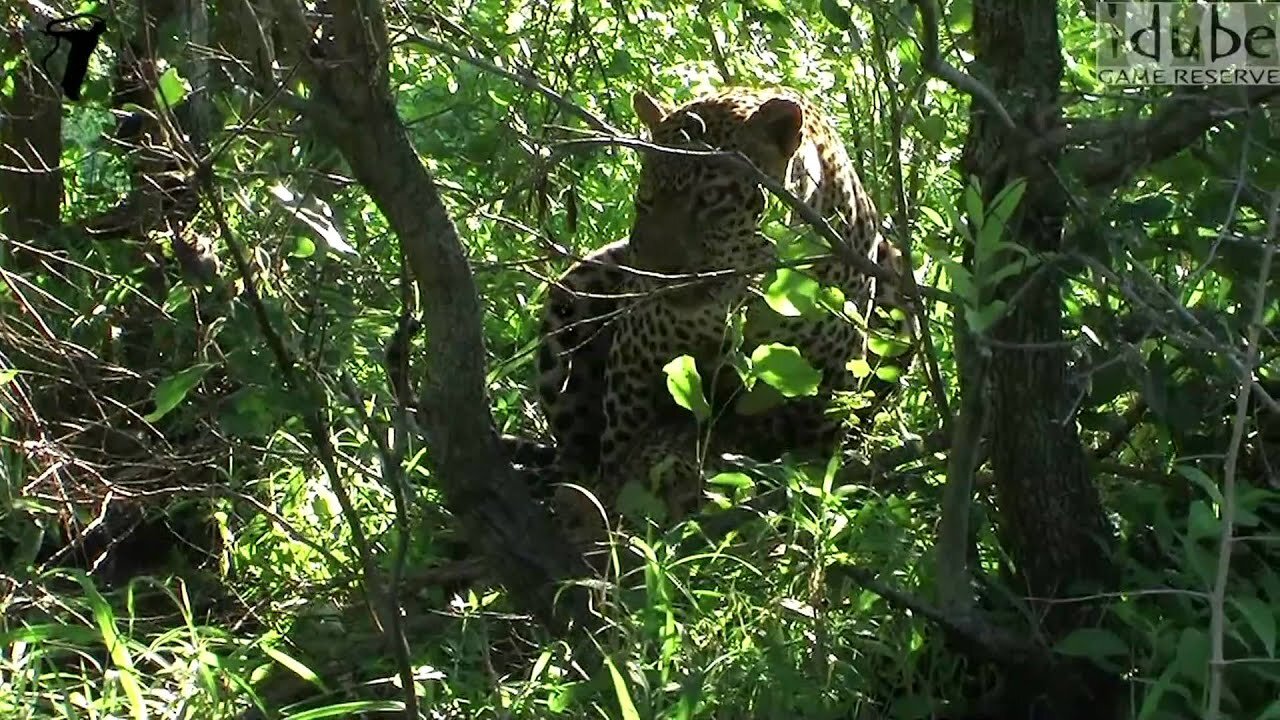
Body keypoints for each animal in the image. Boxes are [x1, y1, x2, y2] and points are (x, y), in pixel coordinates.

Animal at [535, 85, 916, 532]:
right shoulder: (636, 359)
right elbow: (620, 445)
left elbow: (819, 462)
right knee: (574, 448)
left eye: (712, 198)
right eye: (645, 198)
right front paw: (613, 510)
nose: (657, 273)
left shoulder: (833, 376)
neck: (754, 294)